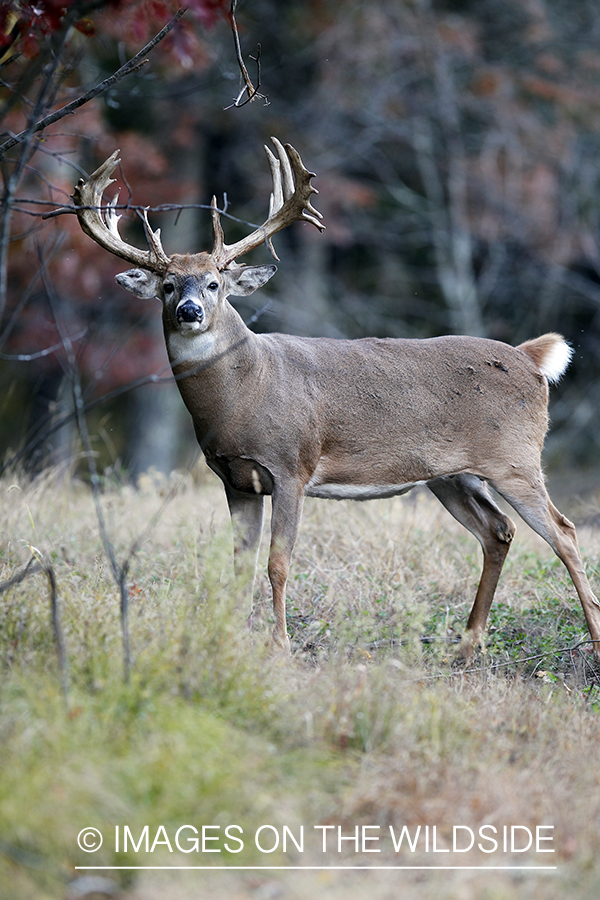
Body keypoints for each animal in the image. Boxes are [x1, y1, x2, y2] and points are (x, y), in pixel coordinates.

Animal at [65, 139, 600, 660]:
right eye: (168, 286)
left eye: (215, 283)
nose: (190, 310)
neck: (245, 393)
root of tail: (530, 360)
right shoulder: (234, 478)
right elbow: (240, 564)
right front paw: (231, 641)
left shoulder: (291, 466)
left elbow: (278, 562)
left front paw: (280, 646)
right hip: (452, 475)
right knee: (498, 532)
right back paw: (465, 649)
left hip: (515, 458)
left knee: (565, 533)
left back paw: (589, 640)